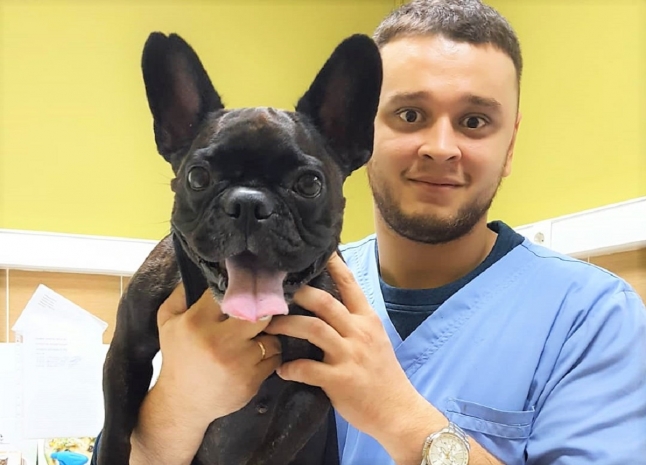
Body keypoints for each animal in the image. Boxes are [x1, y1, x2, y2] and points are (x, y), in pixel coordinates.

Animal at [97, 32, 382, 465]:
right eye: (197, 177)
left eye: (309, 184)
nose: (248, 203)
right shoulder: (127, 352)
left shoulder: (310, 393)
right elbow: (116, 429)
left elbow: (273, 450)